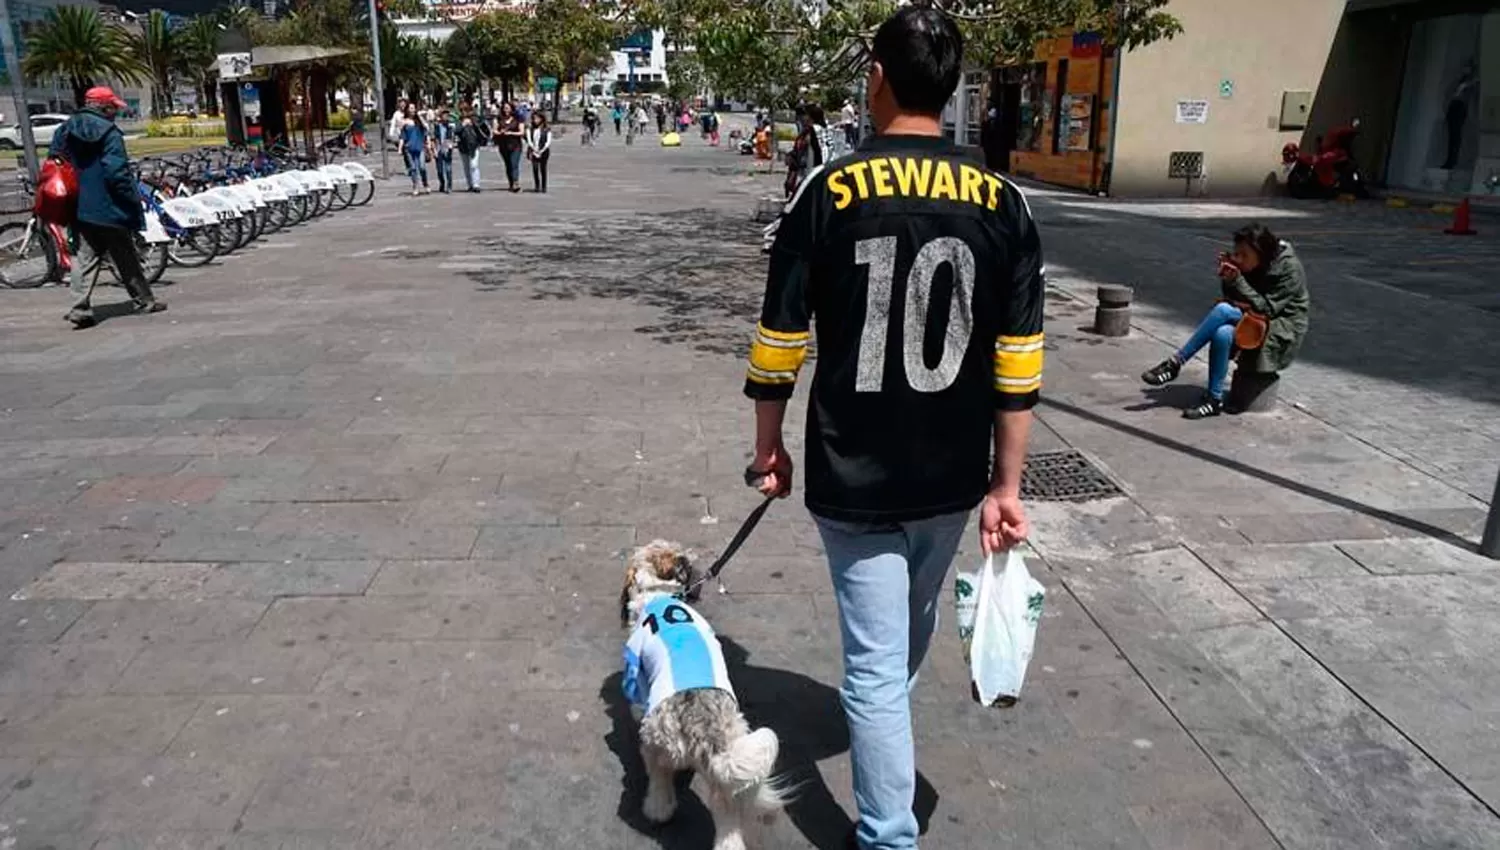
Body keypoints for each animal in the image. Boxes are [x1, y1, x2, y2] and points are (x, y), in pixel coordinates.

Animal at [618, 542, 786, 845]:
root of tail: (706, 729)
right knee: (727, 824)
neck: (659, 593)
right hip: (726, 773)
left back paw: (657, 809)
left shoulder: (637, 678)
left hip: (655, 741)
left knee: (659, 777)